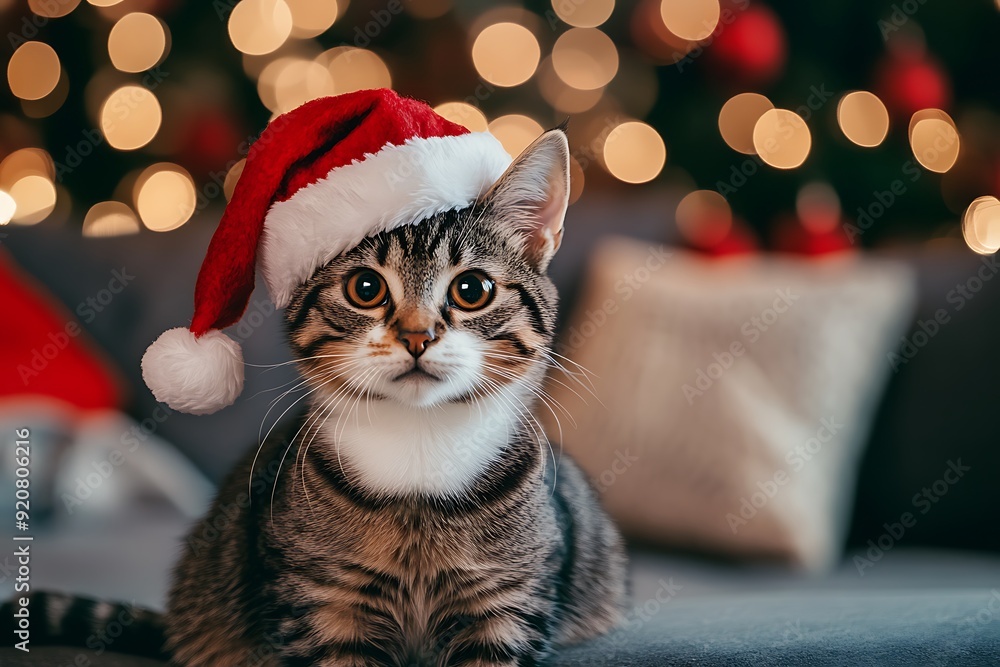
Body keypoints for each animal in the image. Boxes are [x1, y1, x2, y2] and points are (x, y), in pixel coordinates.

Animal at [168, 128, 628, 664]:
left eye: (473, 289)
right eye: (365, 287)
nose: (416, 336)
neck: (419, 446)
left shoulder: (510, 600)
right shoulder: (321, 601)